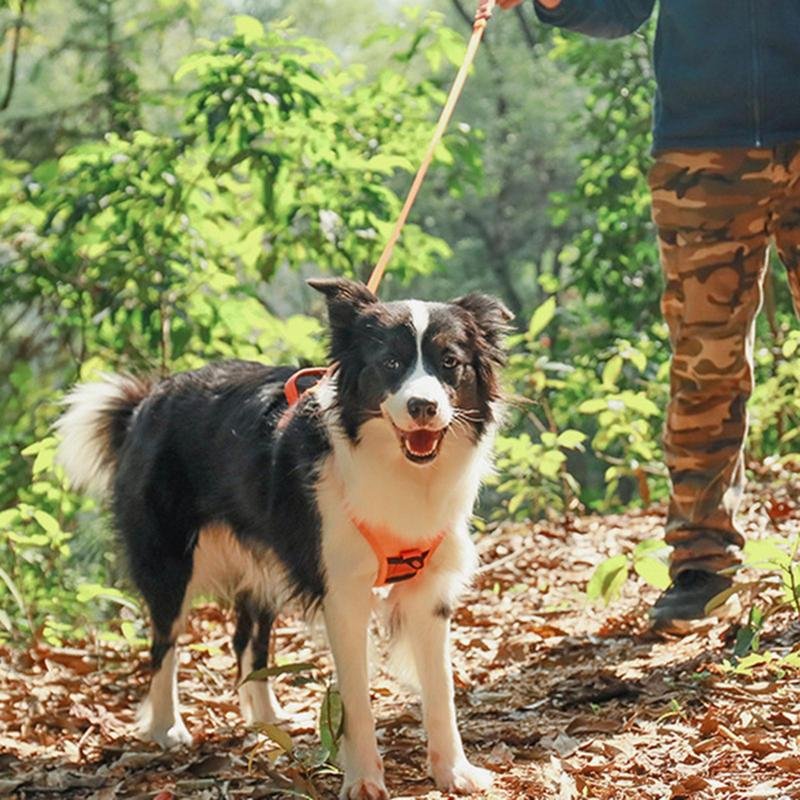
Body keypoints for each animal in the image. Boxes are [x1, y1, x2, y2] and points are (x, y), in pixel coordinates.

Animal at [56, 278, 510, 796]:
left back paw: (267, 720)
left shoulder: (429, 588)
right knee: (163, 645)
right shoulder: (343, 592)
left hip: (263, 560)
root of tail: (145, 402)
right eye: (391, 363)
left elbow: (442, 689)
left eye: (449, 362)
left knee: (247, 642)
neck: (399, 469)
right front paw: (363, 779)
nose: (423, 407)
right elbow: (356, 698)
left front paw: (454, 771)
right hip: (169, 561)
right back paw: (167, 729)